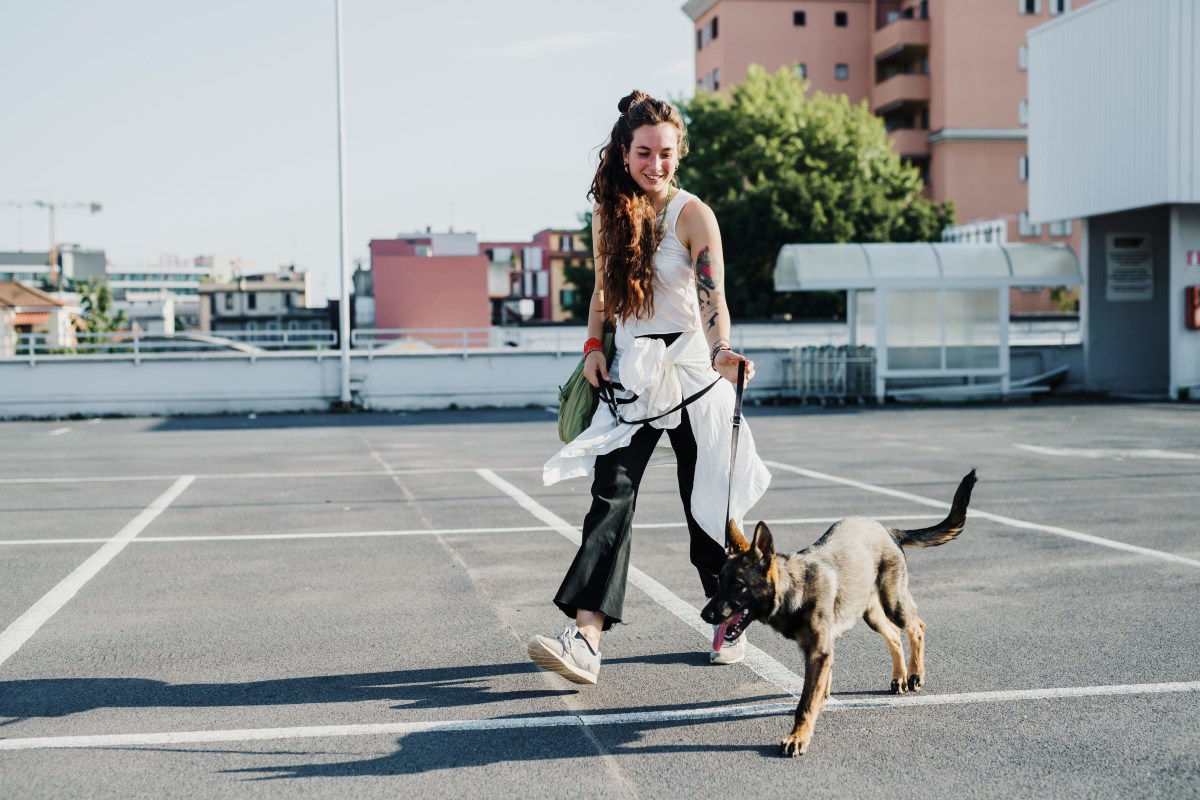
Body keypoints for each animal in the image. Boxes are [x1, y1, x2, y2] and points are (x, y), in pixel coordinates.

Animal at [700, 472, 974, 762]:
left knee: (917, 626)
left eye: (738, 584)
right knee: (894, 635)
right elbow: (818, 691)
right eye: (719, 582)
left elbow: (805, 703)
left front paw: (798, 737)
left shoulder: (818, 652)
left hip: (893, 603)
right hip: (870, 613)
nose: (704, 614)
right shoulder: (822, 651)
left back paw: (915, 675)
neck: (794, 588)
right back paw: (899, 677)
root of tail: (888, 531)